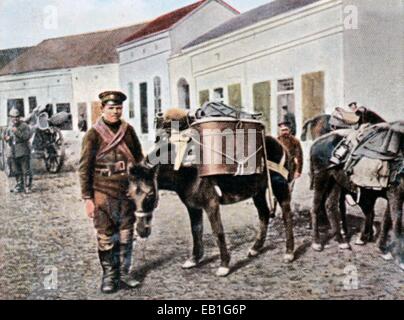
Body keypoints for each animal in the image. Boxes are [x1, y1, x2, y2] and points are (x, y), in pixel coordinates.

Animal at [128, 135, 296, 278]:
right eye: (129, 195)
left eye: (150, 194)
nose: (141, 230)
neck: (188, 170)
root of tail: (277, 142)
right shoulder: (193, 206)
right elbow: (196, 230)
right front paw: (194, 259)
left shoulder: (211, 204)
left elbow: (218, 231)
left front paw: (224, 265)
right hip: (258, 191)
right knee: (264, 214)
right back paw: (256, 248)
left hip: (279, 185)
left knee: (287, 214)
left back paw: (289, 252)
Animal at [310, 125, 402, 270]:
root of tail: (316, 142)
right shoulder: (396, 192)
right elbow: (396, 222)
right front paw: (399, 258)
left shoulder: (391, 194)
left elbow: (387, 220)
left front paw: (382, 249)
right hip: (321, 178)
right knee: (315, 207)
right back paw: (317, 243)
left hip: (335, 181)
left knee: (330, 206)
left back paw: (342, 241)